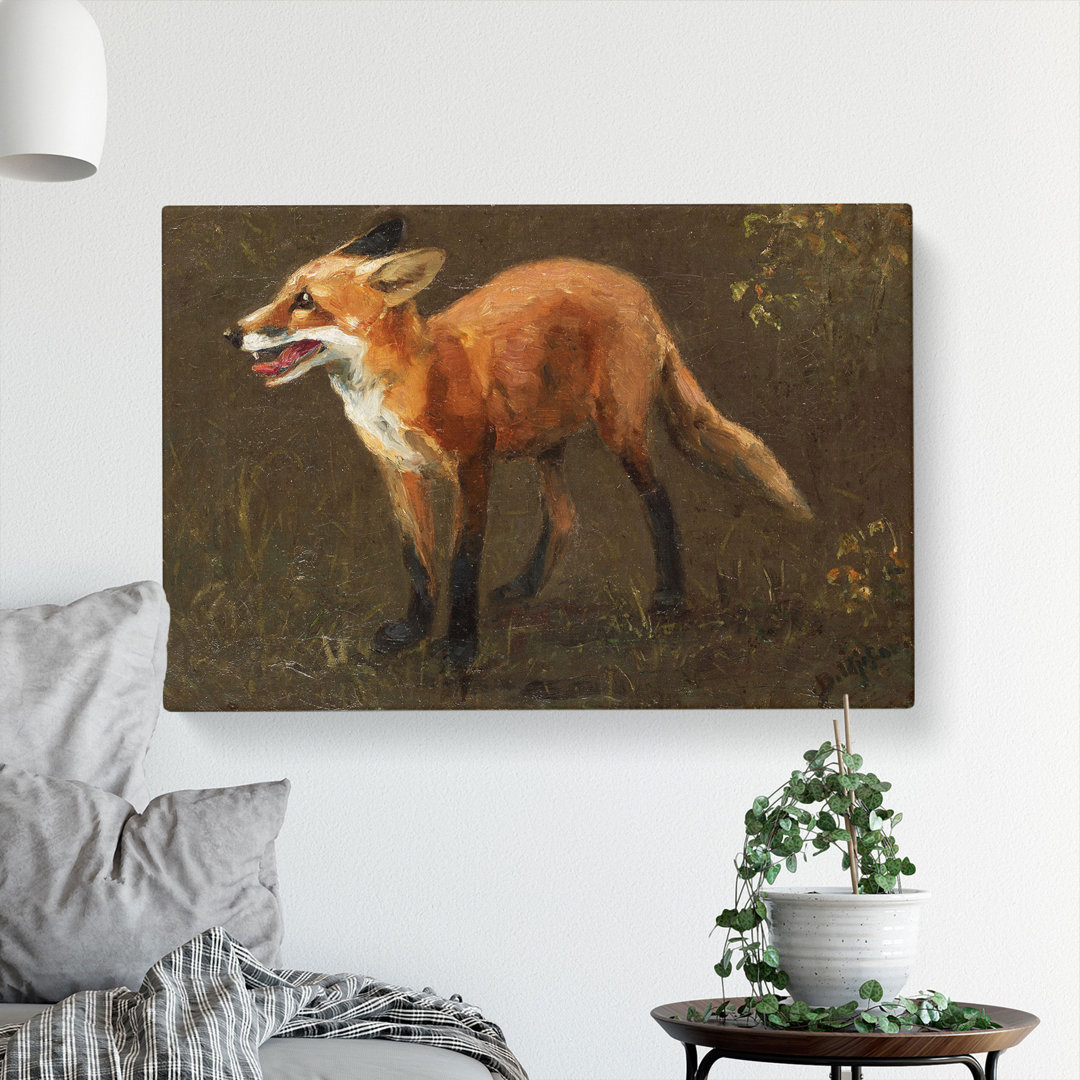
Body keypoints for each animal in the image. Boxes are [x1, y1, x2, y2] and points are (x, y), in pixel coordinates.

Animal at [224, 219, 811, 669]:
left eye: (305, 302)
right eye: (282, 293)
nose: (232, 334)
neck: (409, 379)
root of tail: (635, 289)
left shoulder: (472, 467)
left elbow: (462, 563)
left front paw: (460, 647)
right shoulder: (400, 472)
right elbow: (418, 562)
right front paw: (413, 631)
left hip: (619, 433)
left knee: (658, 499)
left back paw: (668, 597)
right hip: (542, 444)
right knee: (566, 517)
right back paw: (526, 587)